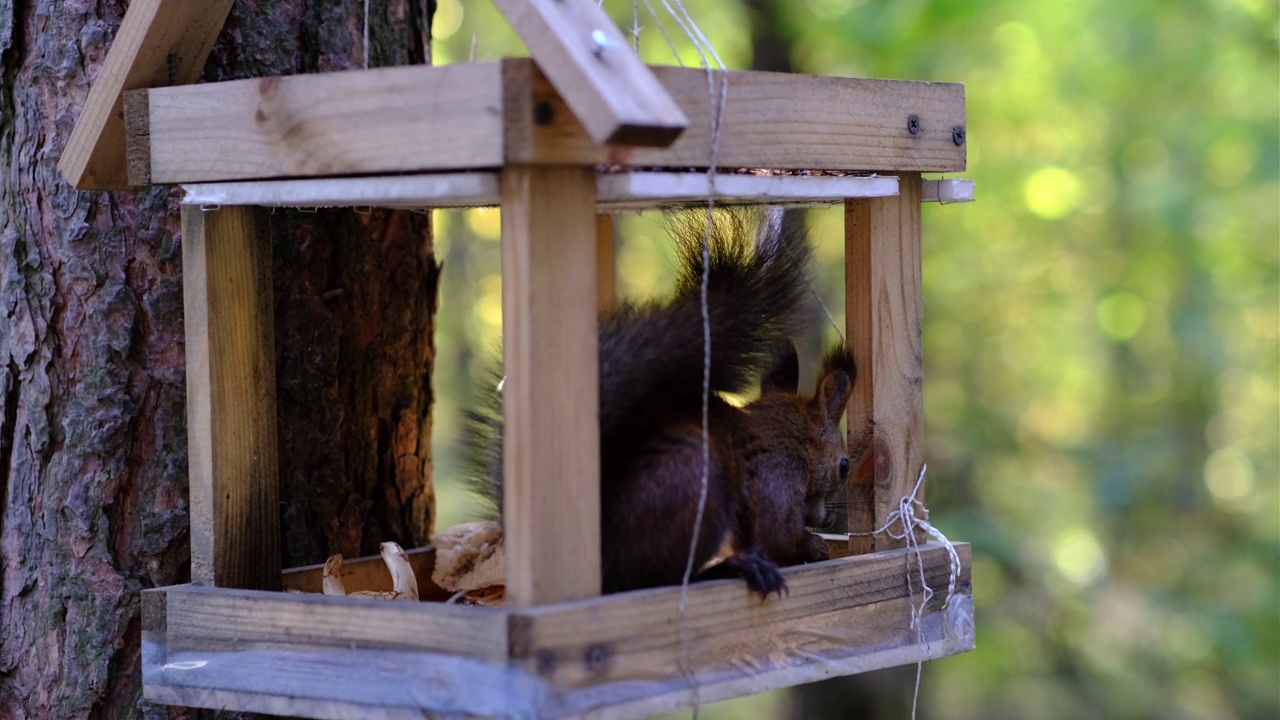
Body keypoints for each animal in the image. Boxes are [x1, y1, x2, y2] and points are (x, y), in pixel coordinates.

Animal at [468, 207, 860, 594]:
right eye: (844, 466)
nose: (826, 519)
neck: (790, 433)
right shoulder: (781, 474)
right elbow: (779, 536)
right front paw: (814, 546)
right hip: (691, 478)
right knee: (660, 579)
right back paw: (732, 569)